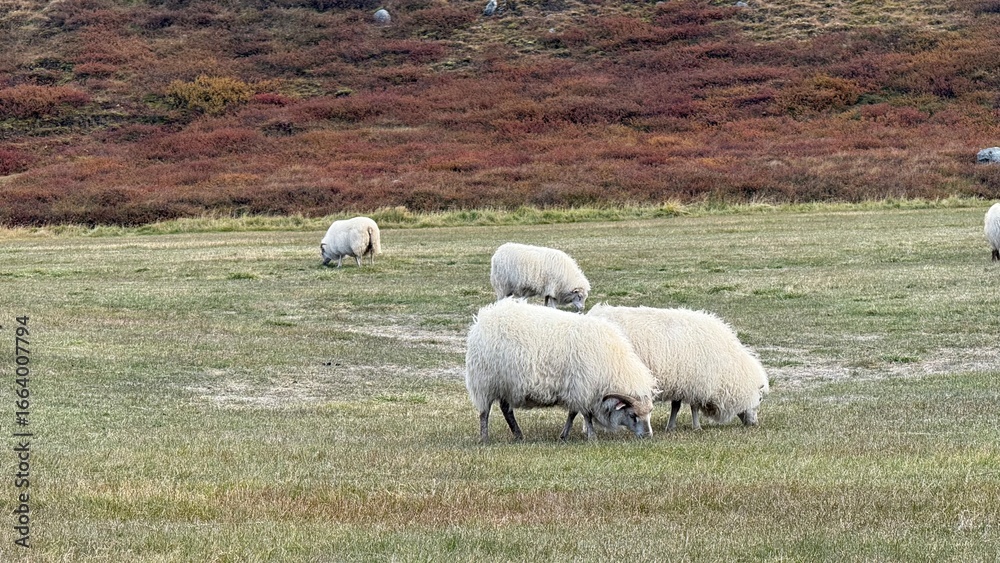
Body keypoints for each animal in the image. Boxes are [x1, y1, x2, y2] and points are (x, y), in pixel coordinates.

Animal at [465, 299, 657, 442]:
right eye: (632, 414)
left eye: (649, 412)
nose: (648, 436)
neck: (613, 366)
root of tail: (482, 321)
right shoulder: (583, 388)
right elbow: (586, 414)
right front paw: (592, 437)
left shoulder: (576, 390)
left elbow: (573, 413)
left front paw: (564, 436)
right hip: (485, 381)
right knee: (484, 412)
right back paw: (485, 438)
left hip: (507, 384)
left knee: (506, 409)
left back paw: (518, 435)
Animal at [587, 304, 769, 431]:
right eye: (759, 399)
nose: (754, 424)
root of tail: (594, 313)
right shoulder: (696, 383)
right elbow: (694, 407)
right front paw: (697, 427)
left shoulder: (681, 381)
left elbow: (676, 406)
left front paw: (671, 426)